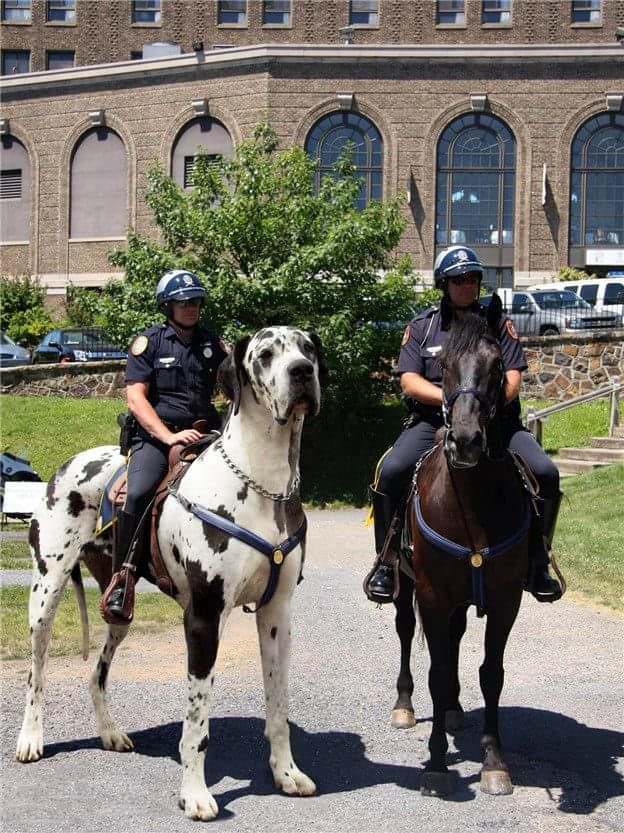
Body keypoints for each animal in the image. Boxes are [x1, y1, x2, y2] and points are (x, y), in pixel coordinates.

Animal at [15, 326, 325, 821]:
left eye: (307, 349)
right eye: (264, 354)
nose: (301, 372)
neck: (262, 482)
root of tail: (66, 464)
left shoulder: (277, 615)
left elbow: (278, 706)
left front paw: (286, 774)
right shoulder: (202, 619)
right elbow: (197, 723)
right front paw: (195, 794)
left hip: (118, 611)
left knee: (96, 673)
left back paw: (110, 733)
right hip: (45, 595)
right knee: (35, 673)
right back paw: (30, 738)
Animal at [391, 295, 531, 797]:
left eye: (497, 365)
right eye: (444, 364)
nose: (466, 441)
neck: (470, 505)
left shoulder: (506, 600)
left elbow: (491, 674)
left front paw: (494, 762)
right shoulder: (432, 596)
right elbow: (435, 671)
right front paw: (435, 763)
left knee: (453, 642)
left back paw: (453, 710)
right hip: (405, 588)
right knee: (408, 633)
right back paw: (405, 705)